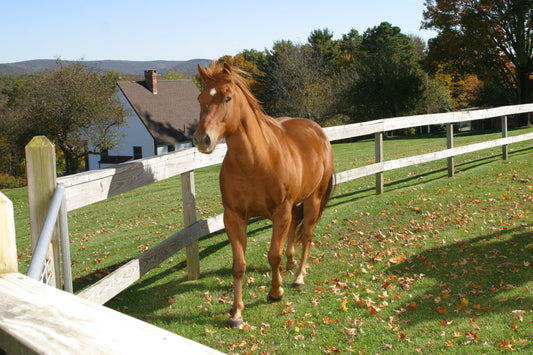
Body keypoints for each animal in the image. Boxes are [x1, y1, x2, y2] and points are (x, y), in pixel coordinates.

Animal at [191, 60, 332, 328]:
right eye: (200, 98)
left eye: (227, 97)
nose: (203, 139)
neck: (255, 162)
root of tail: (318, 131)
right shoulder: (233, 217)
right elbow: (239, 265)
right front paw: (236, 314)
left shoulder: (280, 212)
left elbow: (273, 255)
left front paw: (276, 293)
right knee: (296, 228)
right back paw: (292, 262)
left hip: (313, 199)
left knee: (307, 235)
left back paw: (299, 278)